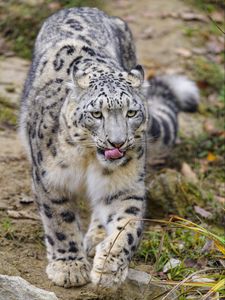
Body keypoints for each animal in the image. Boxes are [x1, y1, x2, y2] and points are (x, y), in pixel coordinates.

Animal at [19, 7, 199, 288]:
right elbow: (60, 222)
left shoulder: (124, 185)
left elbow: (127, 226)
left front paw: (109, 268)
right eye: (96, 114)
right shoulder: (50, 180)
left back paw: (96, 238)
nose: (117, 142)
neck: (87, 159)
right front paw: (69, 268)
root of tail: (83, 7)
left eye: (131, 112)